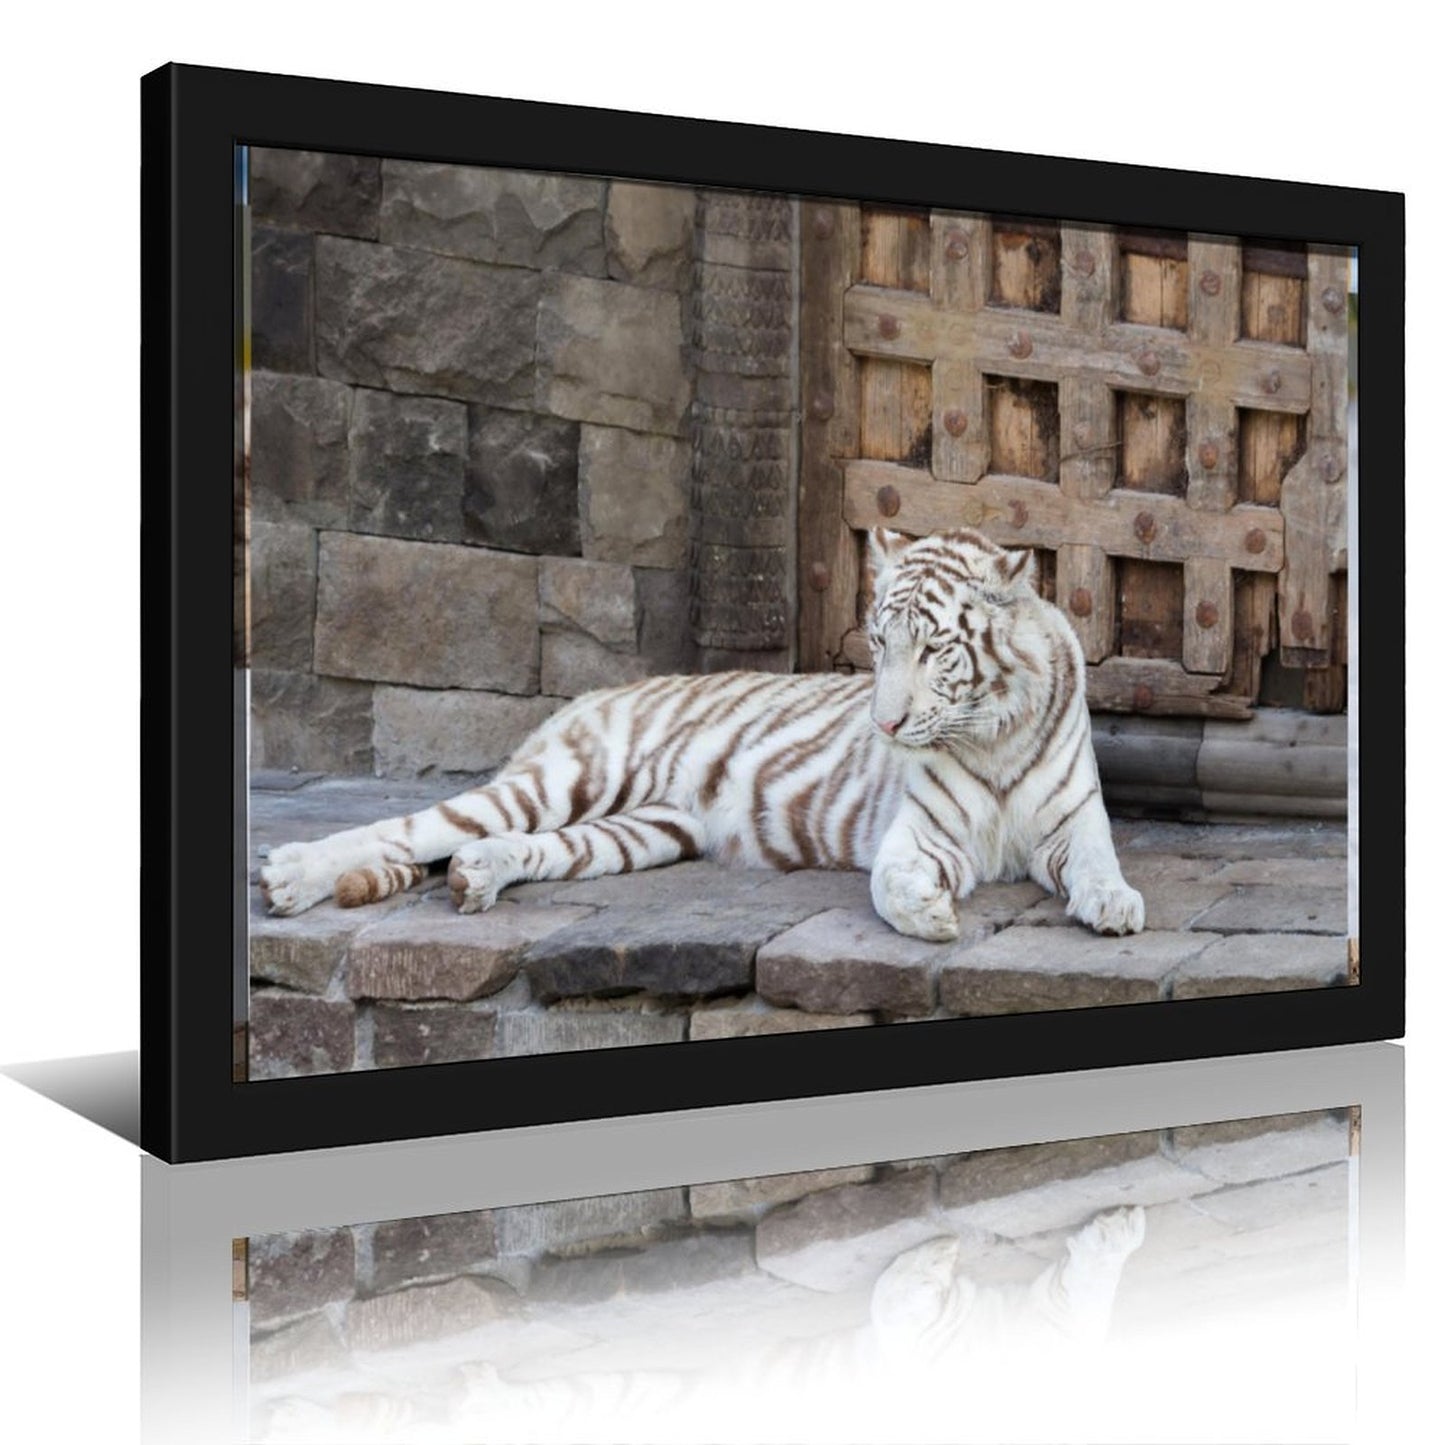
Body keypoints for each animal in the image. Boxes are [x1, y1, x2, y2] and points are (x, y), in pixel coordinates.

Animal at [259, 527, 1144, 941]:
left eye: (932, 650)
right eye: (878, 643)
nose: (885, 722)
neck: (992, 731)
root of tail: (587, 696)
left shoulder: (1071, 823)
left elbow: (1096, 863)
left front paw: (1112, 905)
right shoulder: (921, 833)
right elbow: (891, 882)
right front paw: (928, 915)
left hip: (642, 829)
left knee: (512, 846)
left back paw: (476, 876)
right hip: (566, 779)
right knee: (409, 827)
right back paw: (291, 874)